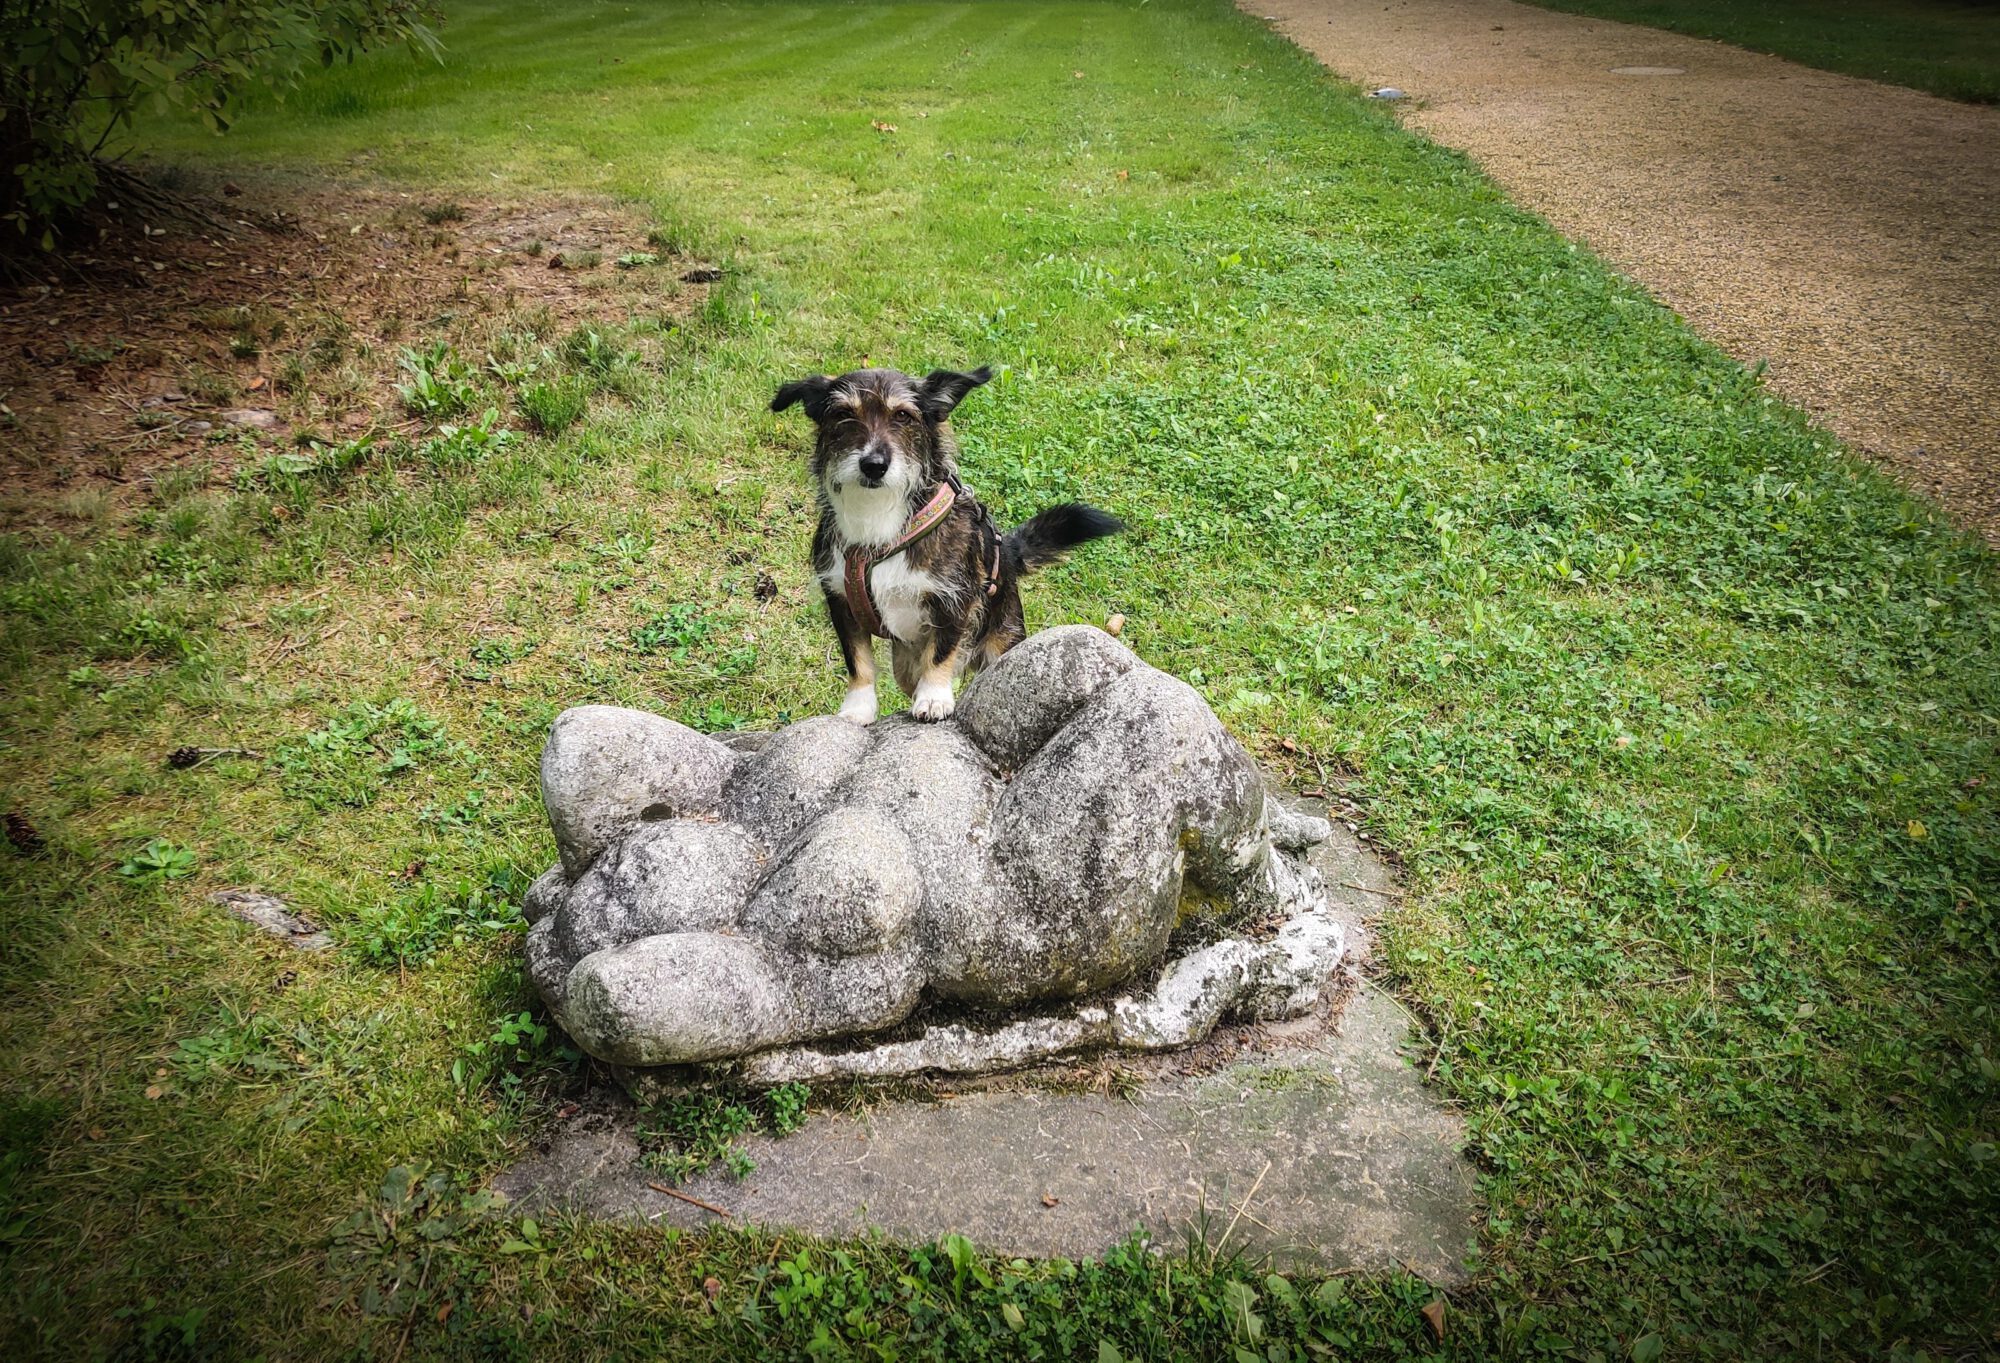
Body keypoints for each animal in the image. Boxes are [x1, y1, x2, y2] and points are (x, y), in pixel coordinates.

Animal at [772, 361, 1128, 723]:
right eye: (843, 414)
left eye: (903, 415)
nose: (873, 465)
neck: (879, 521)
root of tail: (1007, 551)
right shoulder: (841, 601)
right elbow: (857, 660)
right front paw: (858, 707)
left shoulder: (955, 599)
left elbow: (941, 652)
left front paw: (933, 697)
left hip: (1003, 639)